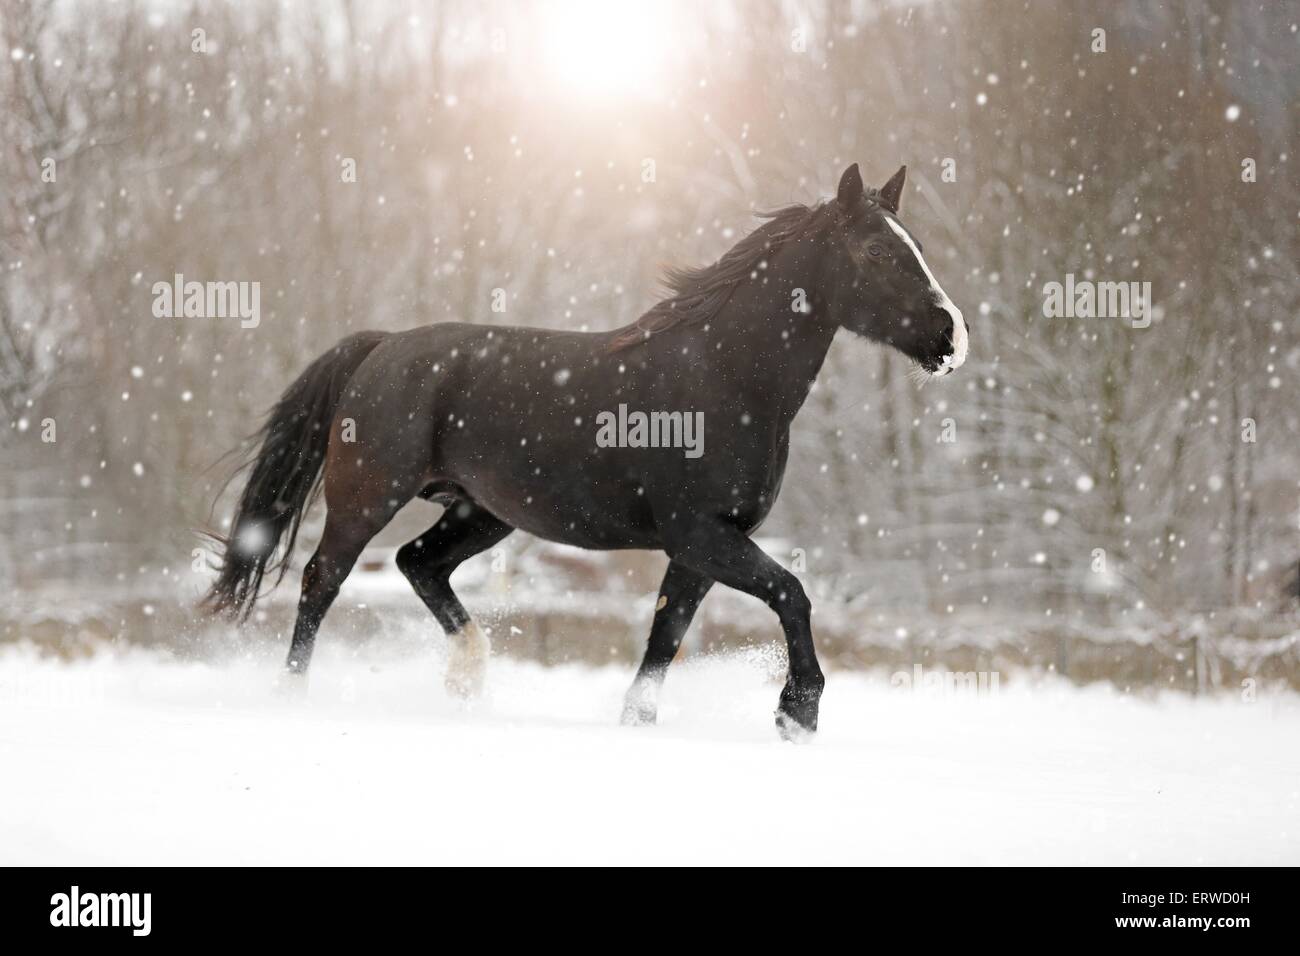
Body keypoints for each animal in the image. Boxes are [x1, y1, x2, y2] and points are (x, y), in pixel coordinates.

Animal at [204, 163, 968, 740]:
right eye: (878, 252)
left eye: (916, 245)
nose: (951, 337)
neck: (724, 377)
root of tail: (383, 346)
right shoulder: (702, 534)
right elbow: (793, 594)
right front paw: (796, 713)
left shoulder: (701, 547)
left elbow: (667, 633)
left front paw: (638, 722)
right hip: (366, 500)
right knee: (322, 580)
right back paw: (294, 697)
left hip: (484, 513)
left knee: (417, 564)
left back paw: (468, 682)